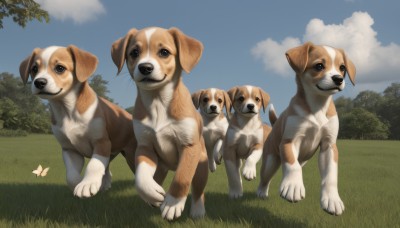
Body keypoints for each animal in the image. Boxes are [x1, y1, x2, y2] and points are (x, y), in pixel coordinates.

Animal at [19, 45, 138, 198]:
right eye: (34, 69)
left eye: (60, 68)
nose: (39, 82)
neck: (67, 110)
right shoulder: (69, 149)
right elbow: (71, 175)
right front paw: (79, 184)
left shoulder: (101, 143)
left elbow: (94, 165)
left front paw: (87, 184)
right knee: (106, 170)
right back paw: (104, 185)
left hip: (130, 154)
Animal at [110, 26, 208, 221]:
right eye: (134, 53)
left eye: (164, 52)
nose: (145, 67)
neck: (158, 102)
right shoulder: (145, 146)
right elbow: (141, 175)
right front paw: (151, 192)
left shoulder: (189, 146)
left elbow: (182, 177)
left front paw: (173, 203)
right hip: (161, 166)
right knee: (156, 178)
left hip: (201, 165)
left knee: (198, 191)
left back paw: (197, 211)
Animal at [260, 41, 356, 216]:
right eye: (319, 66)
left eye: (342, 68)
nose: (338, 79)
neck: (317, 106)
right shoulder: (290, 141)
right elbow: (292, 165)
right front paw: (293, 187)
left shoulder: (328, 146)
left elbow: (330, 175)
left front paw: (332, 199)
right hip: (270, 160)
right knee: (265, 178)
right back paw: (262, 193)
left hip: (303, 159)